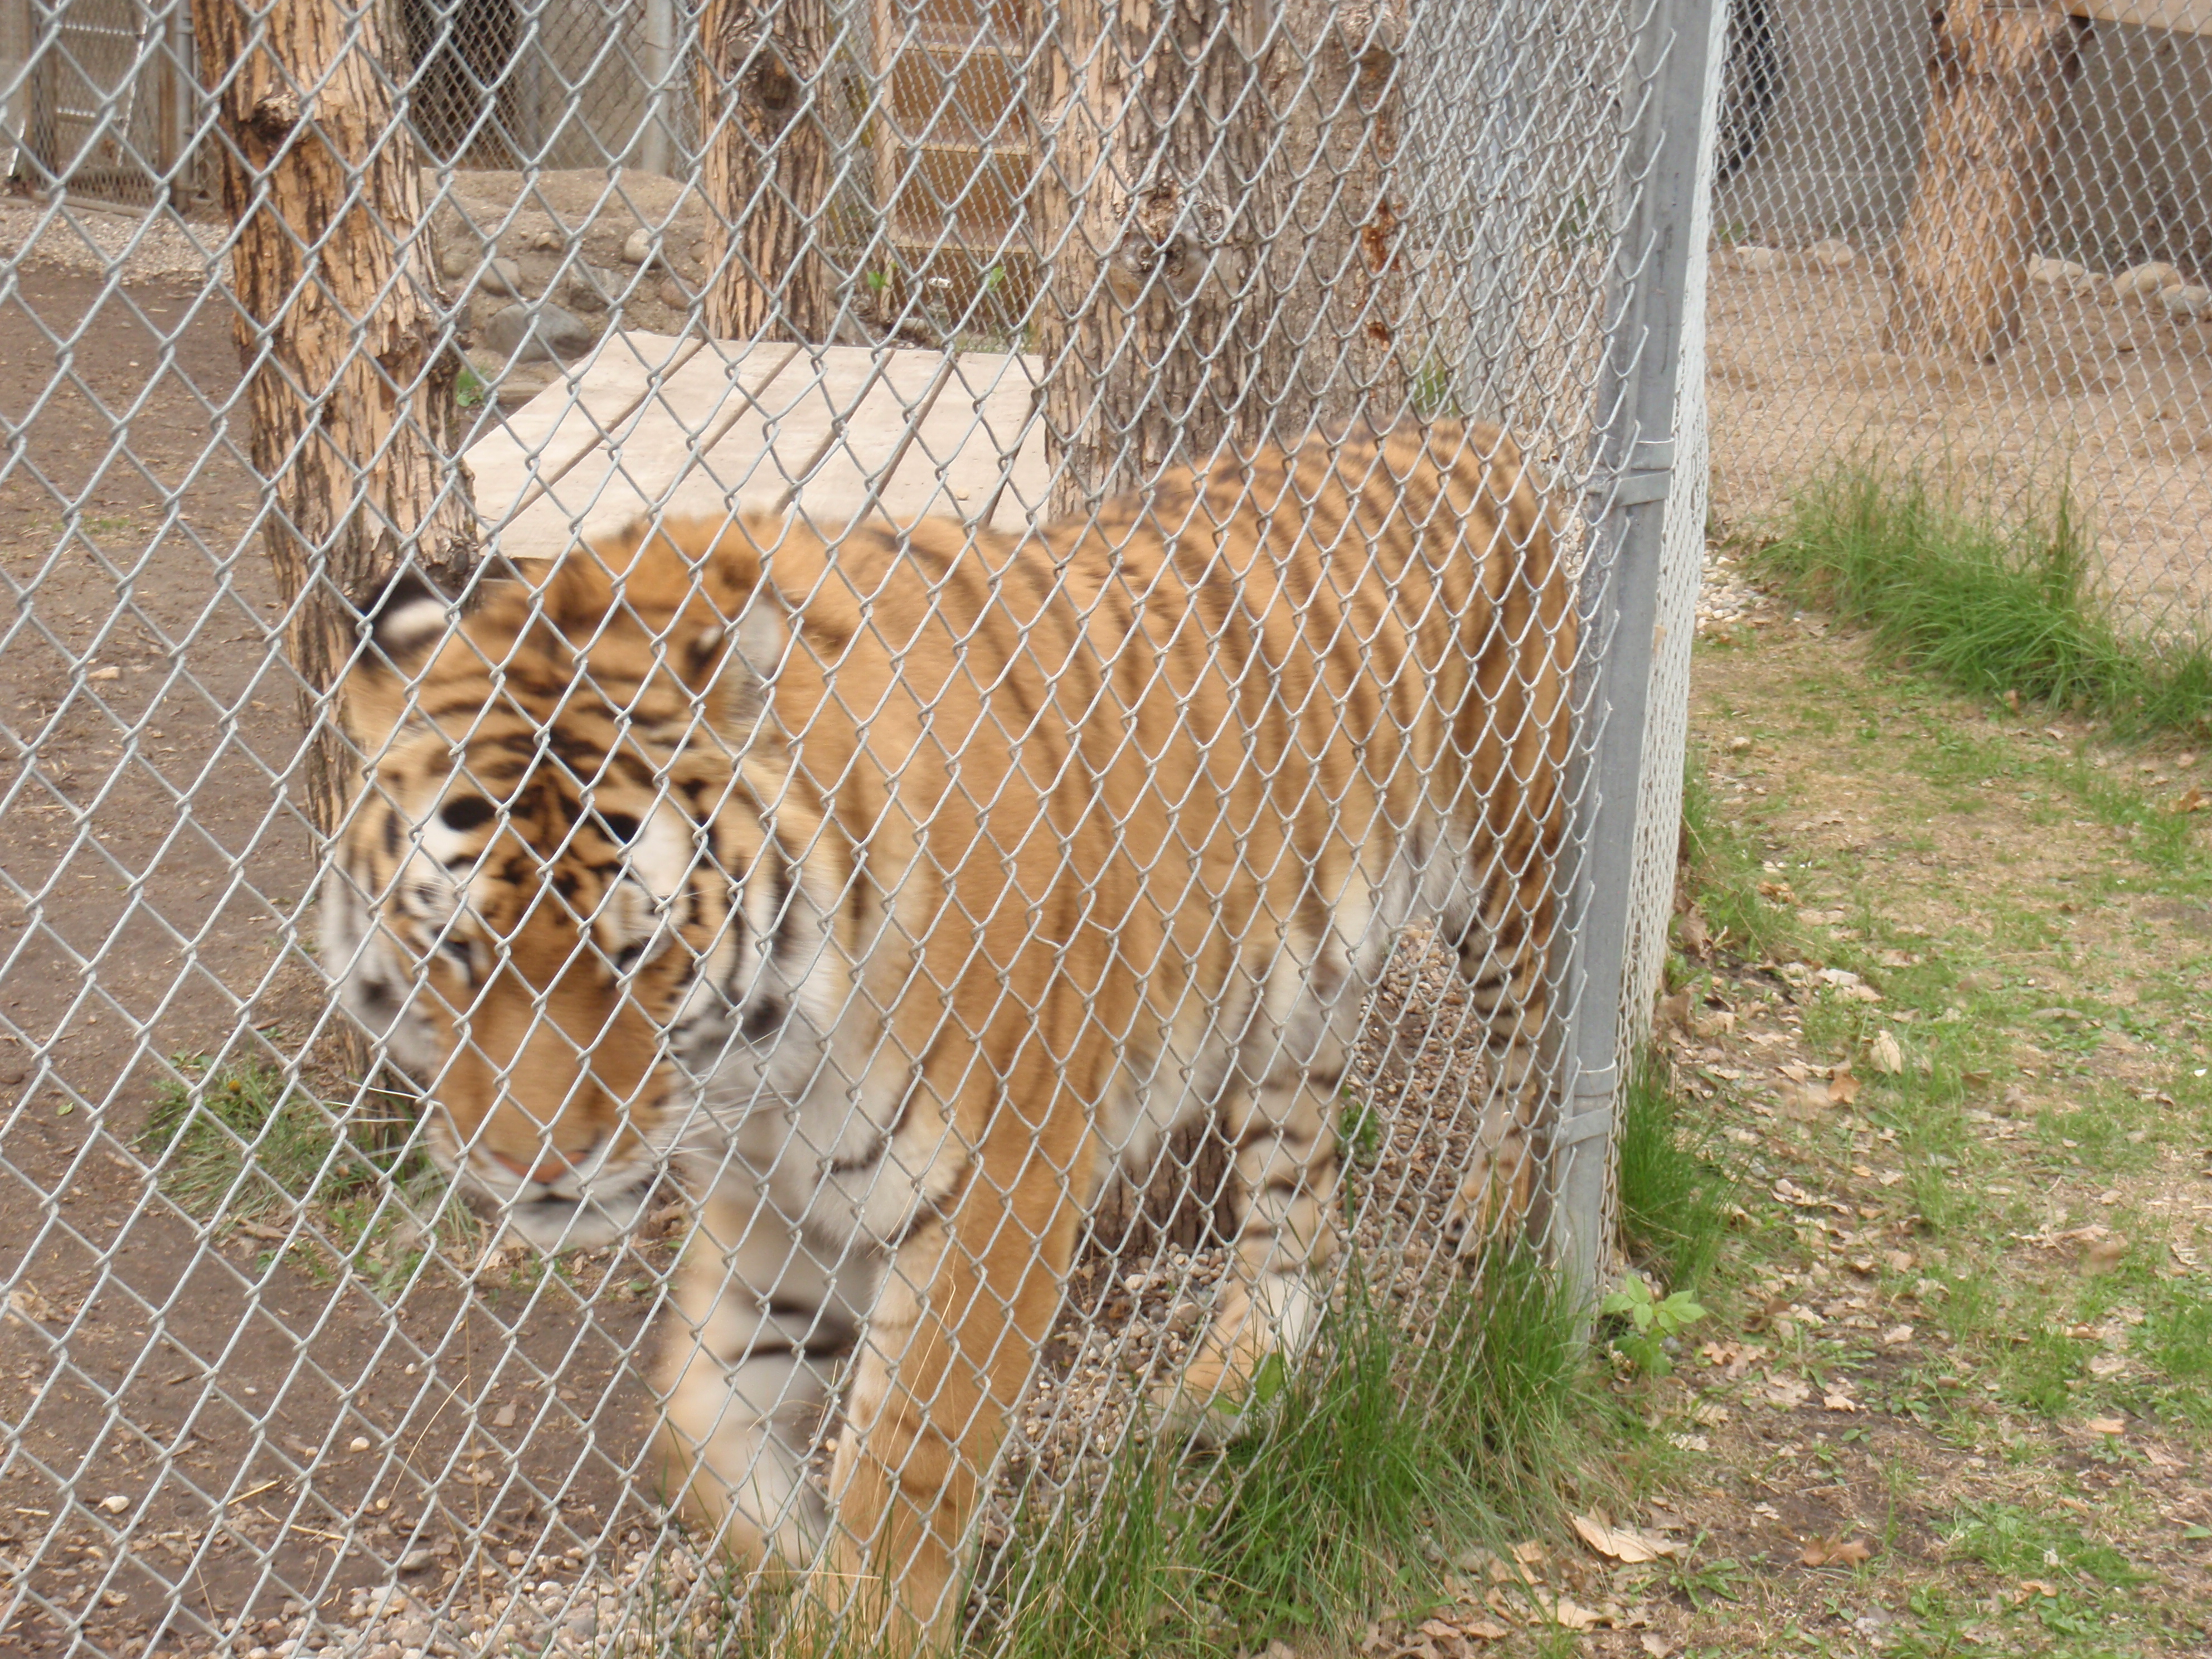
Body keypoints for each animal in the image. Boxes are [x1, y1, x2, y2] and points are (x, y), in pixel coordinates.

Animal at [318, 419, 1575, 1651]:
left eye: (636, 953)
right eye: (452, 947)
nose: (530, 1168)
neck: (758, 1071)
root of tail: (1481, 435)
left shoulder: (998, 1189)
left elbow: (908, 1459)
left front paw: (857, 1616)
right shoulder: (774, 1206)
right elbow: (694, 1426)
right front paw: (800, 1572)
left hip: (1504, 872)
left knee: (1534, 1049)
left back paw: (1499, 1218)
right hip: (1292, 998)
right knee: (1292, 1196)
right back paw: (1232, 1382)